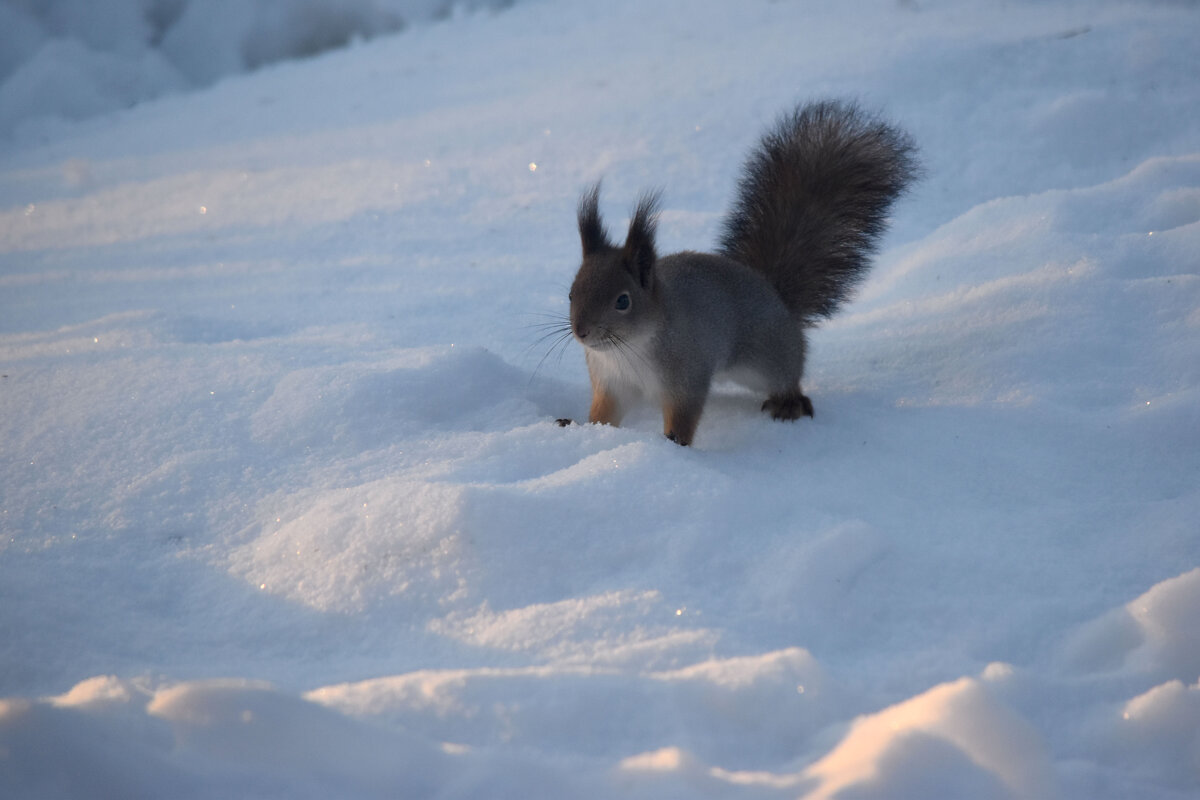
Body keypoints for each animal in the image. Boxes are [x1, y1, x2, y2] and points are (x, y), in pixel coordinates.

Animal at [561, 99, 916, 443]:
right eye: (570, 293)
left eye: (623, 301)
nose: (581, 331)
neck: (629, 349)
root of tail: (775, 295)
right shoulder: (611, 383)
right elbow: (604, 414)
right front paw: (582, 427)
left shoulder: (687, 374)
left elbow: (685, 414)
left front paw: (673, 443)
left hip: (769, 358)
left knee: (789, 374)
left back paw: (790, 403)